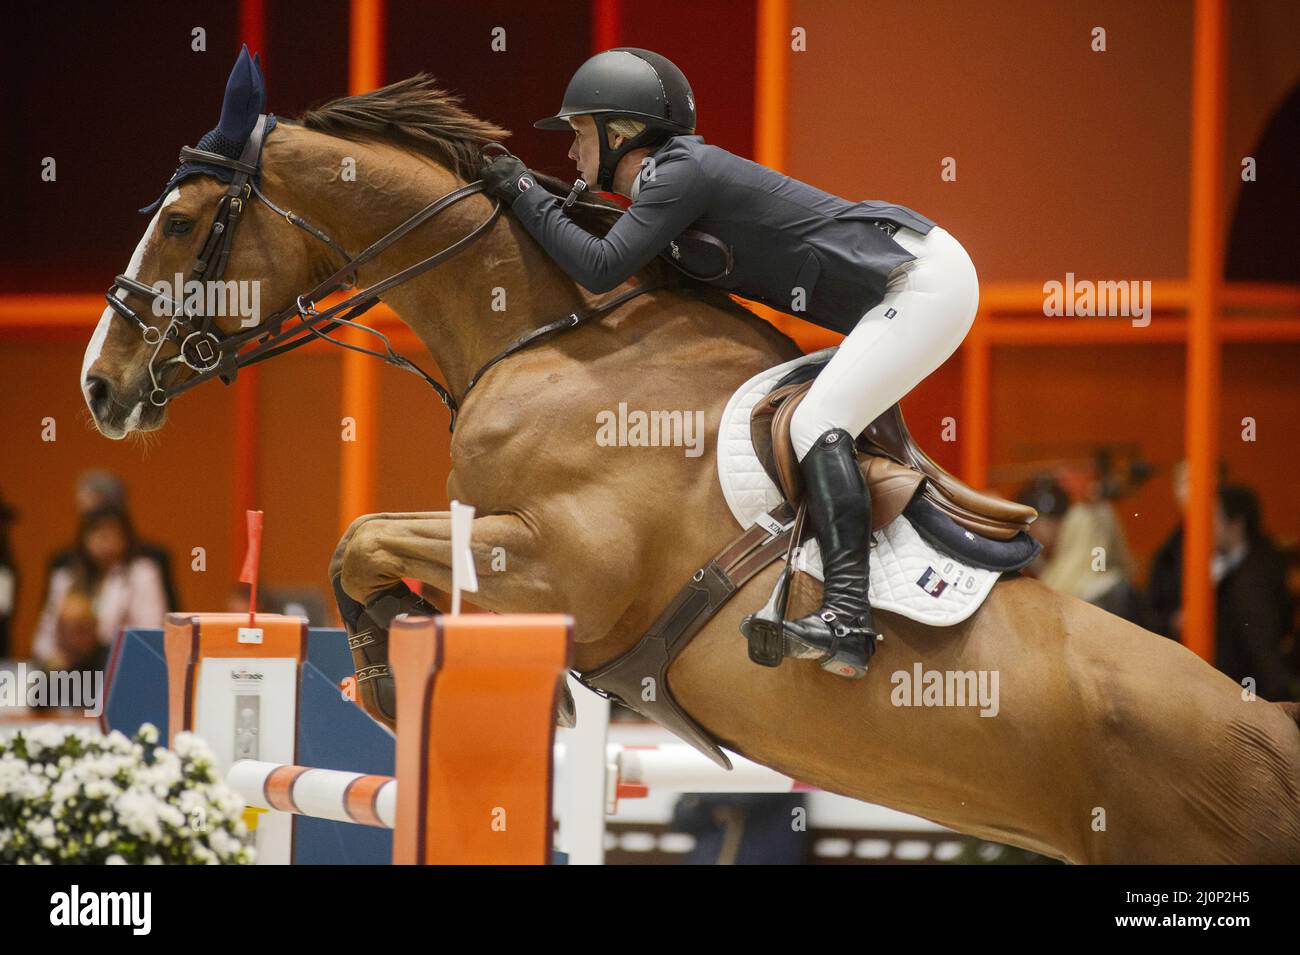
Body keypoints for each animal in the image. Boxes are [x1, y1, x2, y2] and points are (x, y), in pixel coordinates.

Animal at [86, 72, 1300, 867]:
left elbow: (362, 539)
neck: (546, 339)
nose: (100, 385)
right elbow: (363, 547)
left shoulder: (563, 571)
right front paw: (389, 667)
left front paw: (392, 675)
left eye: (183, 220)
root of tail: (1269, 736)